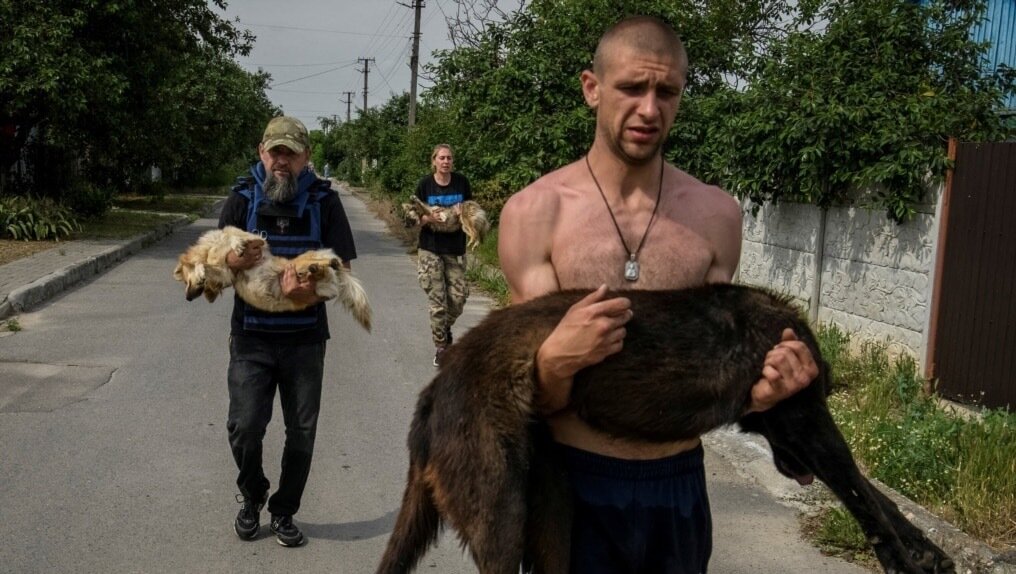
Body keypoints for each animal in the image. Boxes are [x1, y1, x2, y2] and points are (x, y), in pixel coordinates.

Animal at [173, 224, 373, 331]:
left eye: (185, 281)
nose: (187, 298)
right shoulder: (227, 273)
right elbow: (210, 265)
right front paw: (204, 270)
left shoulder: (257, 241)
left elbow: (232, 237)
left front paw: (235, 245)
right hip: (320, 285)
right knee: (324, 270)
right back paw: (318, 269)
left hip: (302, 263)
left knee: (330, 262)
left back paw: (327, 264)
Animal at [377, 284, 955, 572]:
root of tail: (434, 391)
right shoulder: (809, 422)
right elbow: (861, 492)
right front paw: (903, 560)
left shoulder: (808, 434)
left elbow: (879, 495)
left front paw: (929, 551)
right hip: (501, 512)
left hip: (551, 506)